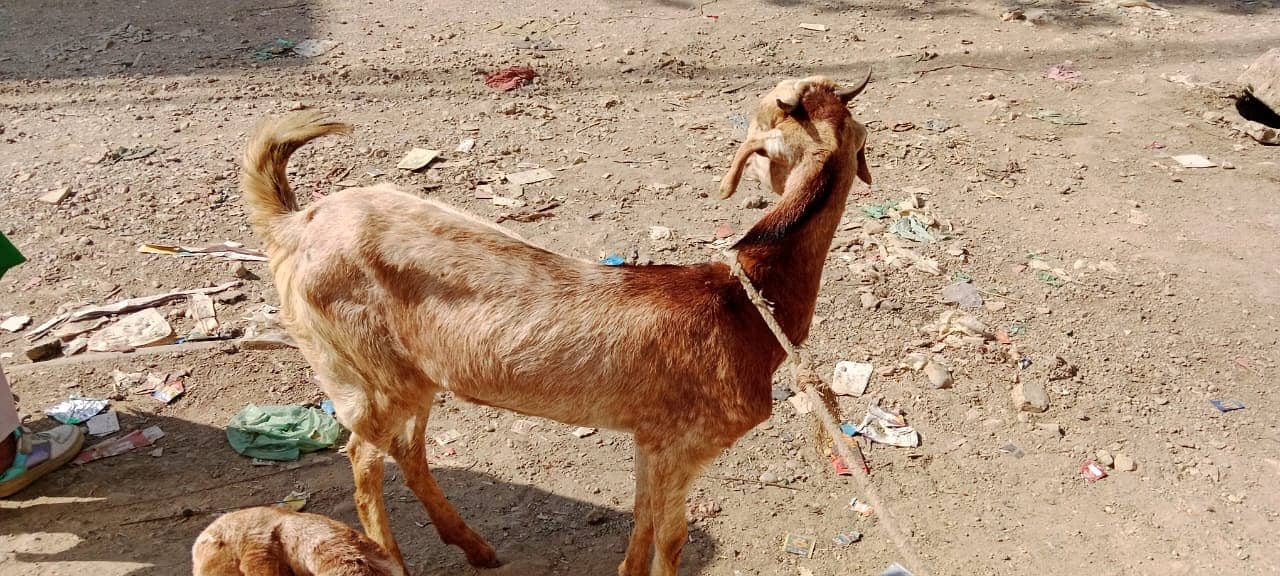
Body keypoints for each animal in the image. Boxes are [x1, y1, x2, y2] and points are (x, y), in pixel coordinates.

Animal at [239, 73, 870, 576]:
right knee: (365, 460)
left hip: (410, 376)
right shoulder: (687, 441)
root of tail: (292, 225)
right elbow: (672, 535)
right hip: (362, 371)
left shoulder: (653, 438)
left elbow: (644, 519)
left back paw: (476, 548)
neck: (745, 304)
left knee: (407, 450)